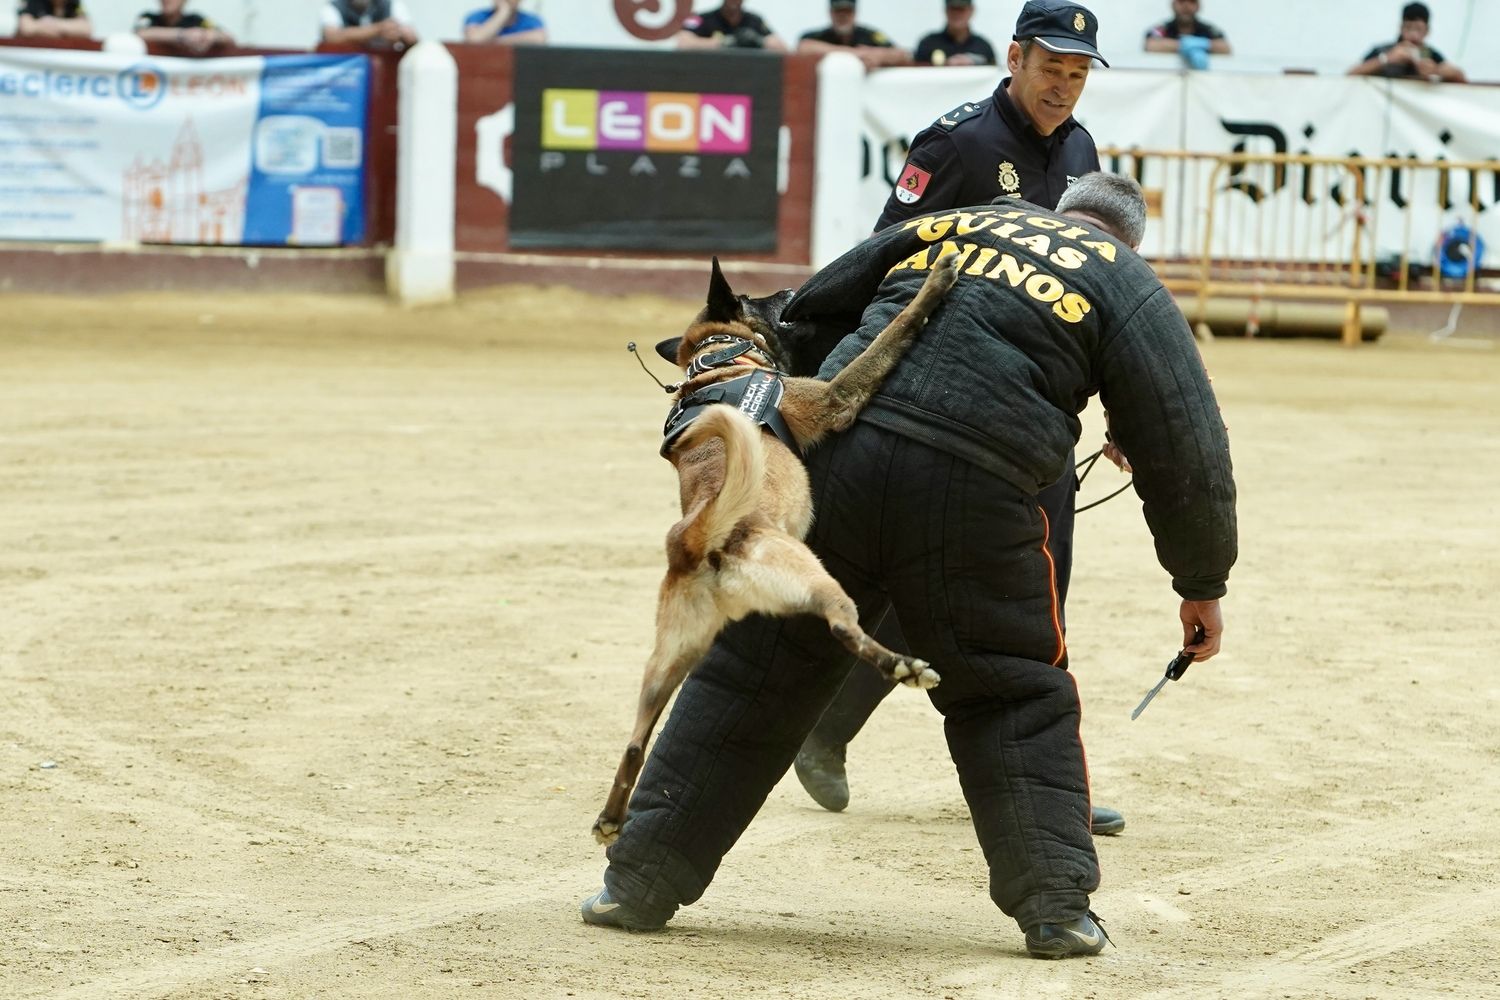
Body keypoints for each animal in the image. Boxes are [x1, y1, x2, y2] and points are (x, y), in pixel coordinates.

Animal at [591, 251, 954, 845]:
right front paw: (935, 284)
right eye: (758, 297)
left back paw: (610, 819)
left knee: (635, 742)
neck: (720, 362)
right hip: (816, 576)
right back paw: (903, 666)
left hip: (668, 660)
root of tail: (700, 537)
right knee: (843, 628)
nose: (789, 289)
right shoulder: (833, 398)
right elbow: (889, 340)